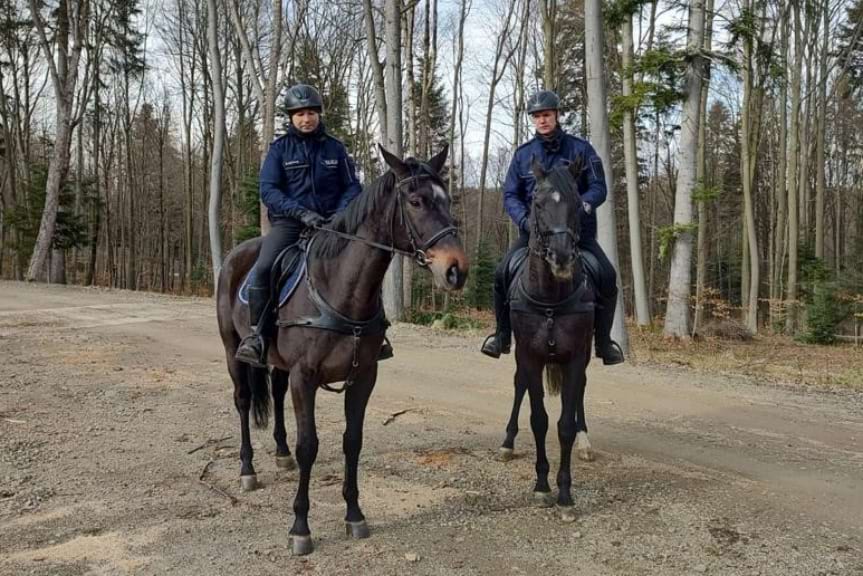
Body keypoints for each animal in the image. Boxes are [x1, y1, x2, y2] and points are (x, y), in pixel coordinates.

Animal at [219, 146, 470, 556]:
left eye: (446, 200)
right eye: (415, 201)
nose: (456, 270)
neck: (340, 288)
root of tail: (234, 256)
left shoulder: (363, 376)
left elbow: (352, 442)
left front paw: (354, 515)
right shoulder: (305, 378)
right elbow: (309, 445)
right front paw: (300, 527)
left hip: (280, 366)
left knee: (275, 393)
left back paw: (280, 454)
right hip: (231, 349)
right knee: (242, 401)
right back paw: (247, 470)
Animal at [500, 158, 592, 520]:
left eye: (577, 203)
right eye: (537, 204)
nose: (562, 256)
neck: (551, 298)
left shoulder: (576, 358)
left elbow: (564, 424)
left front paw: (565, 493)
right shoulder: (530, 356)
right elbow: (538, 419)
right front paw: (541, 486)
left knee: (579, 394)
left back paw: (585, 440)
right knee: (518, 386)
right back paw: (507, 441)